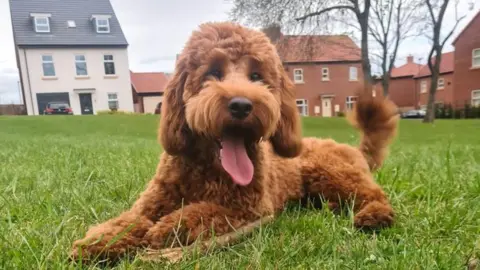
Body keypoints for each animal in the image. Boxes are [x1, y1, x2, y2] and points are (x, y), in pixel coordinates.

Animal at [71, 22, 400, 262]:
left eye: (256, 76)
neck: (206, 170)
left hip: (331, 171)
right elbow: (128, 219)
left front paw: (167, 228)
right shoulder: (151, 201)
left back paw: (375, 216)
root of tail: (354, 149)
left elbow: (204, 212)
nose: (241, 105)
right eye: (213, 72)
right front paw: (98, 242)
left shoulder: (249, 210)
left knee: (374, 194)